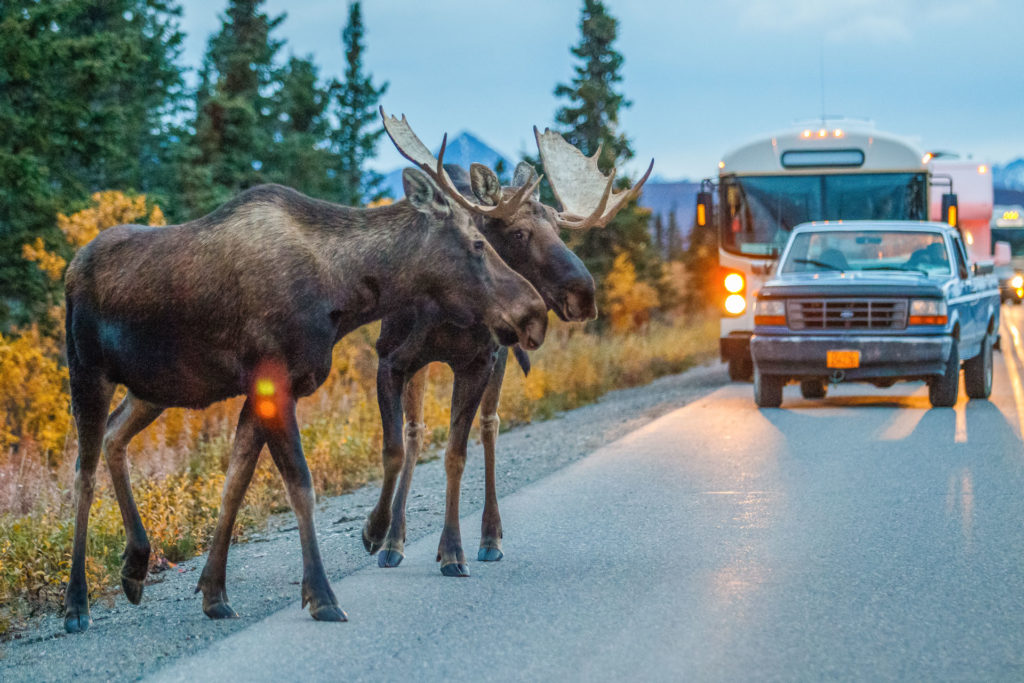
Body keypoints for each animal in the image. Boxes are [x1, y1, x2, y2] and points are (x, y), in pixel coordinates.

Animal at [58, 118, 548, 630]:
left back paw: (135, 565)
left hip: (152, 388)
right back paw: (76, 603)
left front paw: (214, 592)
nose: (534, 313)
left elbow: (235, 484)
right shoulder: (274, 383)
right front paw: (322, 595)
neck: (341, 290)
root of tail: (71, 269)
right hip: (87, 372)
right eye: (478, 244)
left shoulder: (263, 389)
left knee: (115, 436)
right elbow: (300, 487)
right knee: (82, 475)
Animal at [362, 111, 655, 577]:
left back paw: (489, 536)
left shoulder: (479, 362)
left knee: (490, 426)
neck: (447, 312)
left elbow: (456, 454)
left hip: (499, 359)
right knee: (417, 432)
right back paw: (396, 539)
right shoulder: (392, 358)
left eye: (559, 231)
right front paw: (379, 534)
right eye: (517, 233)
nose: (585, 295)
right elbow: (399, 443)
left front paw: (453, 550)